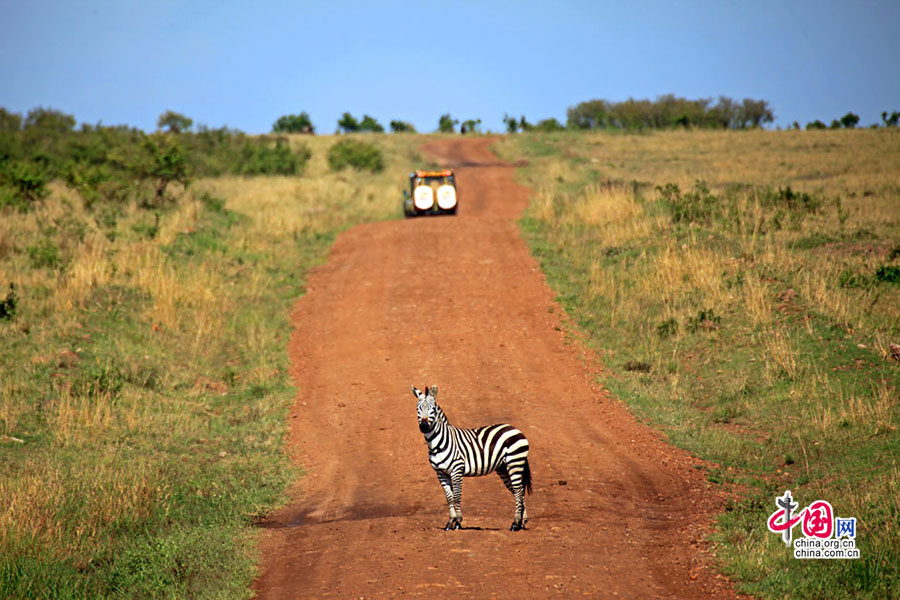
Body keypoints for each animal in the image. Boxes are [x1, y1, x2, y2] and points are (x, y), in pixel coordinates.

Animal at [412, 384, 532, 528]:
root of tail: (515, 429)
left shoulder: (456, 470)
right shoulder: (441, 473)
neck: (437, 443)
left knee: (519, 491)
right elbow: (449, 498)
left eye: (433, 409)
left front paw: (458, 522)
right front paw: (450, 522)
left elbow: (457, 496)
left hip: (515, 463)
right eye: (418, 409)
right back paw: (521, 522)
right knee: (519, 491)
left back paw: (515, 523)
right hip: (504, 468)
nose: (424, 426)